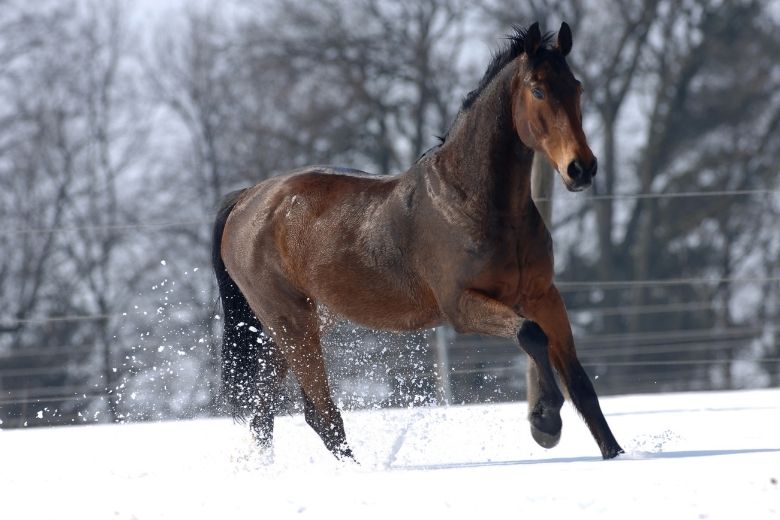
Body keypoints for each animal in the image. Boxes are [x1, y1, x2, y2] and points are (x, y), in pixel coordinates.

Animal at [212, 22, 620, 462]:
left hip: (290, 326)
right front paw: (545, 422)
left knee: (265, 410)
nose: (581, 168)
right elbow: (530, 334)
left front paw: (614, 453)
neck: (470, 202)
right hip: (291, 322)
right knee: (319, 414)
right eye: (538, 89)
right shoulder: (461, 306)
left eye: (576, 87)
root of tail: (247, 199)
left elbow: (579, 381)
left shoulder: (544, 296)